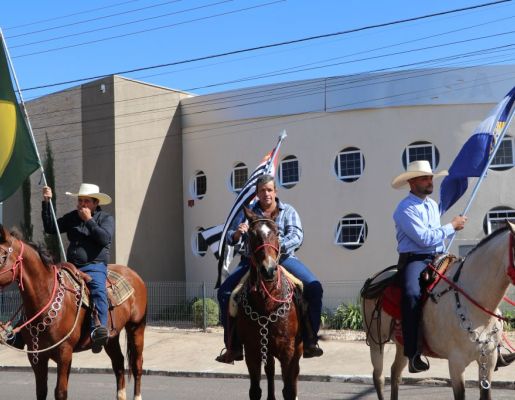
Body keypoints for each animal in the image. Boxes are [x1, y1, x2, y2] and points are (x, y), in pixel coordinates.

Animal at [0, 225, 147, 400]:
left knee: (137, 365)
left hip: (136, 328)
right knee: (118, 364)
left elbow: (61, 392)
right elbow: (41, 391)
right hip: (112, 337)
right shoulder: (36, 356)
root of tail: (134, 275)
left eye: (2, 256)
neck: (46, 297)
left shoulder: (64, 352)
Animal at [234, 208, 302, 400]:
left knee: (294, 375)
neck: (267, 301)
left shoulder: (288, 350)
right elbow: (255, 390)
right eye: (251, 234)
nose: (268, 269)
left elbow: (288, 390)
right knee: (270, 371)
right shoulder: (252, 350)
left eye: (278, 233)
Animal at [362, 220, 515, 398]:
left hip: (402, 344)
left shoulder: (488, 359)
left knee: (395, 373)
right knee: (378, 377)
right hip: (375, 341)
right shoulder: (456, 363)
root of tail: (375, 278)